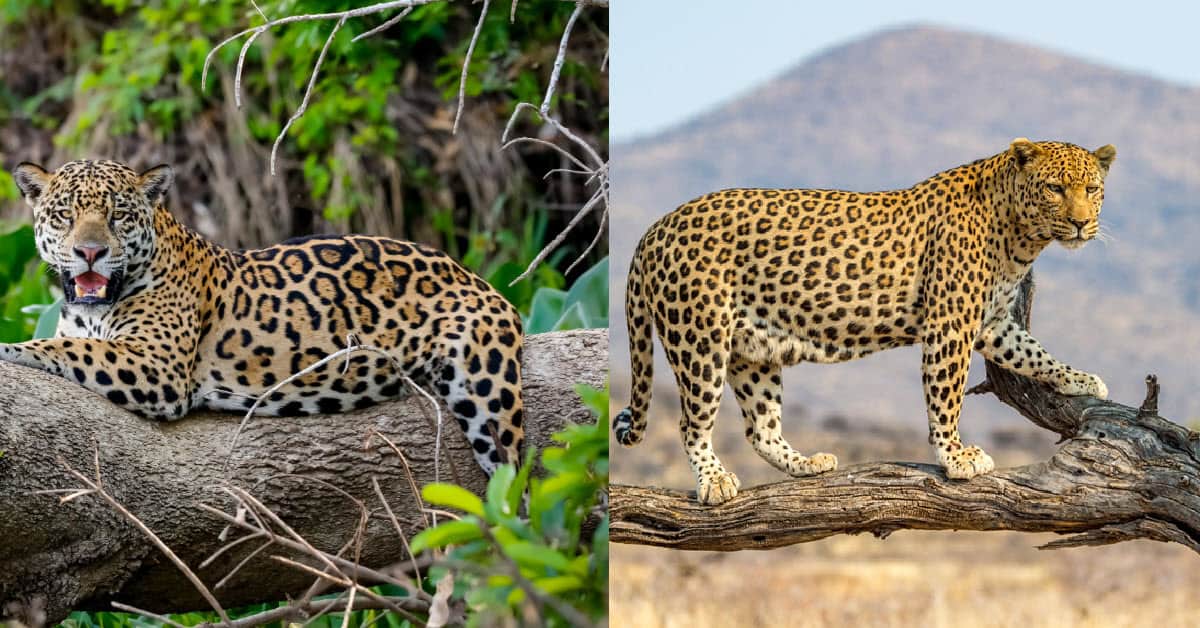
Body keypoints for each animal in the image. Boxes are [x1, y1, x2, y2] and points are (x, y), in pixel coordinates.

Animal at [5, 159, 526, 477]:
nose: (89, 252)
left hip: (487, 392)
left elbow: (67, 347)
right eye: (65, 216)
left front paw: (10, 349)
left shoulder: (160, 368)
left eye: (118, 216)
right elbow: (71, 341)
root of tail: (476, 276)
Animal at [615, 138, 1115, 505]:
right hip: (700, 340)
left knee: (761, 429)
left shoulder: (991, 323)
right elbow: (946, 397)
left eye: (1091, 190)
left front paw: (1081, 379)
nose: (1080, 223)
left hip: (751, 351)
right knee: (691, 424)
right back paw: (714, 482)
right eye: (1054, 188)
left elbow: (1034, 353)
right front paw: (955, 457)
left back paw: (806, 464)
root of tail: (653, 230)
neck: (1020, 236)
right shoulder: (950, 324)